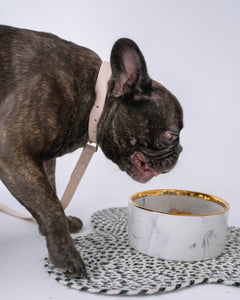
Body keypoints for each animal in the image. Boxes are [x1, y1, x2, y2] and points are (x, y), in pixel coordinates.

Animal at [0, 25, 183, 276]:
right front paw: (65, 254)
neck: (94, 98)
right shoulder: (13, 154)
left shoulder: (44, 159)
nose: (180, 150)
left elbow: (52, 194)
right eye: (172, 136)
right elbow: (50, 206)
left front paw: (62, 226)